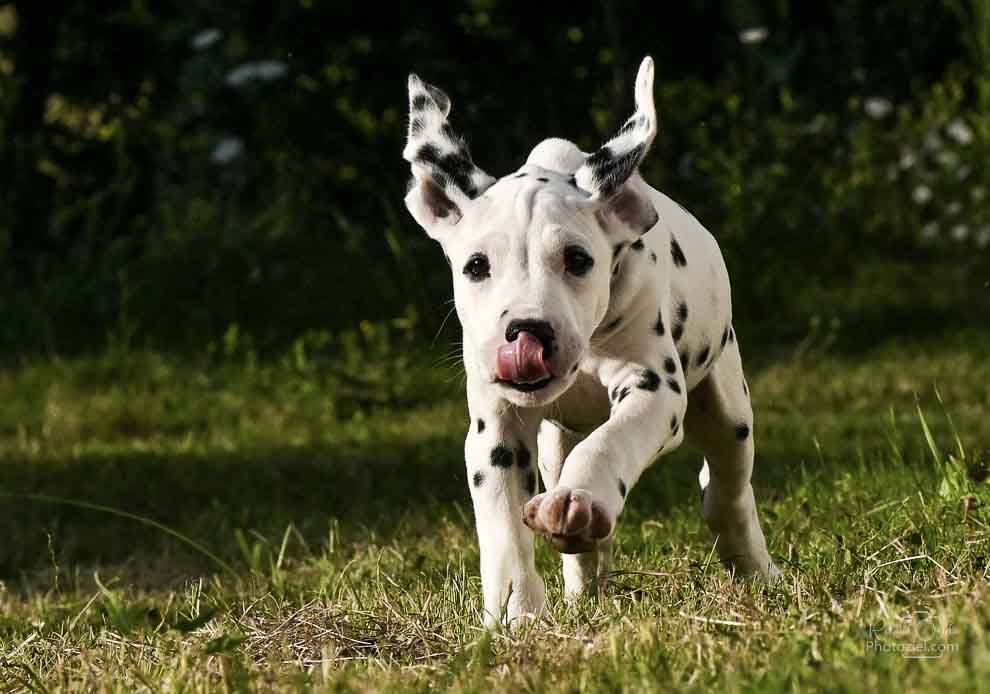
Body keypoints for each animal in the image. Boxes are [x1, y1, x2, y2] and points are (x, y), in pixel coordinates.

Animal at [404, 57, 784, 628]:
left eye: (578, 260)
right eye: (476, 266)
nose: (527, 332)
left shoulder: (654, 389)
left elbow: (609, 443)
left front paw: (580, 498)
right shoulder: (497, 429)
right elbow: (503, 527)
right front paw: (516, 613)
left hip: (728, 413)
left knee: (726, 489)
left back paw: (755, 566)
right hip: (550, 445)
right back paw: (583, 578)